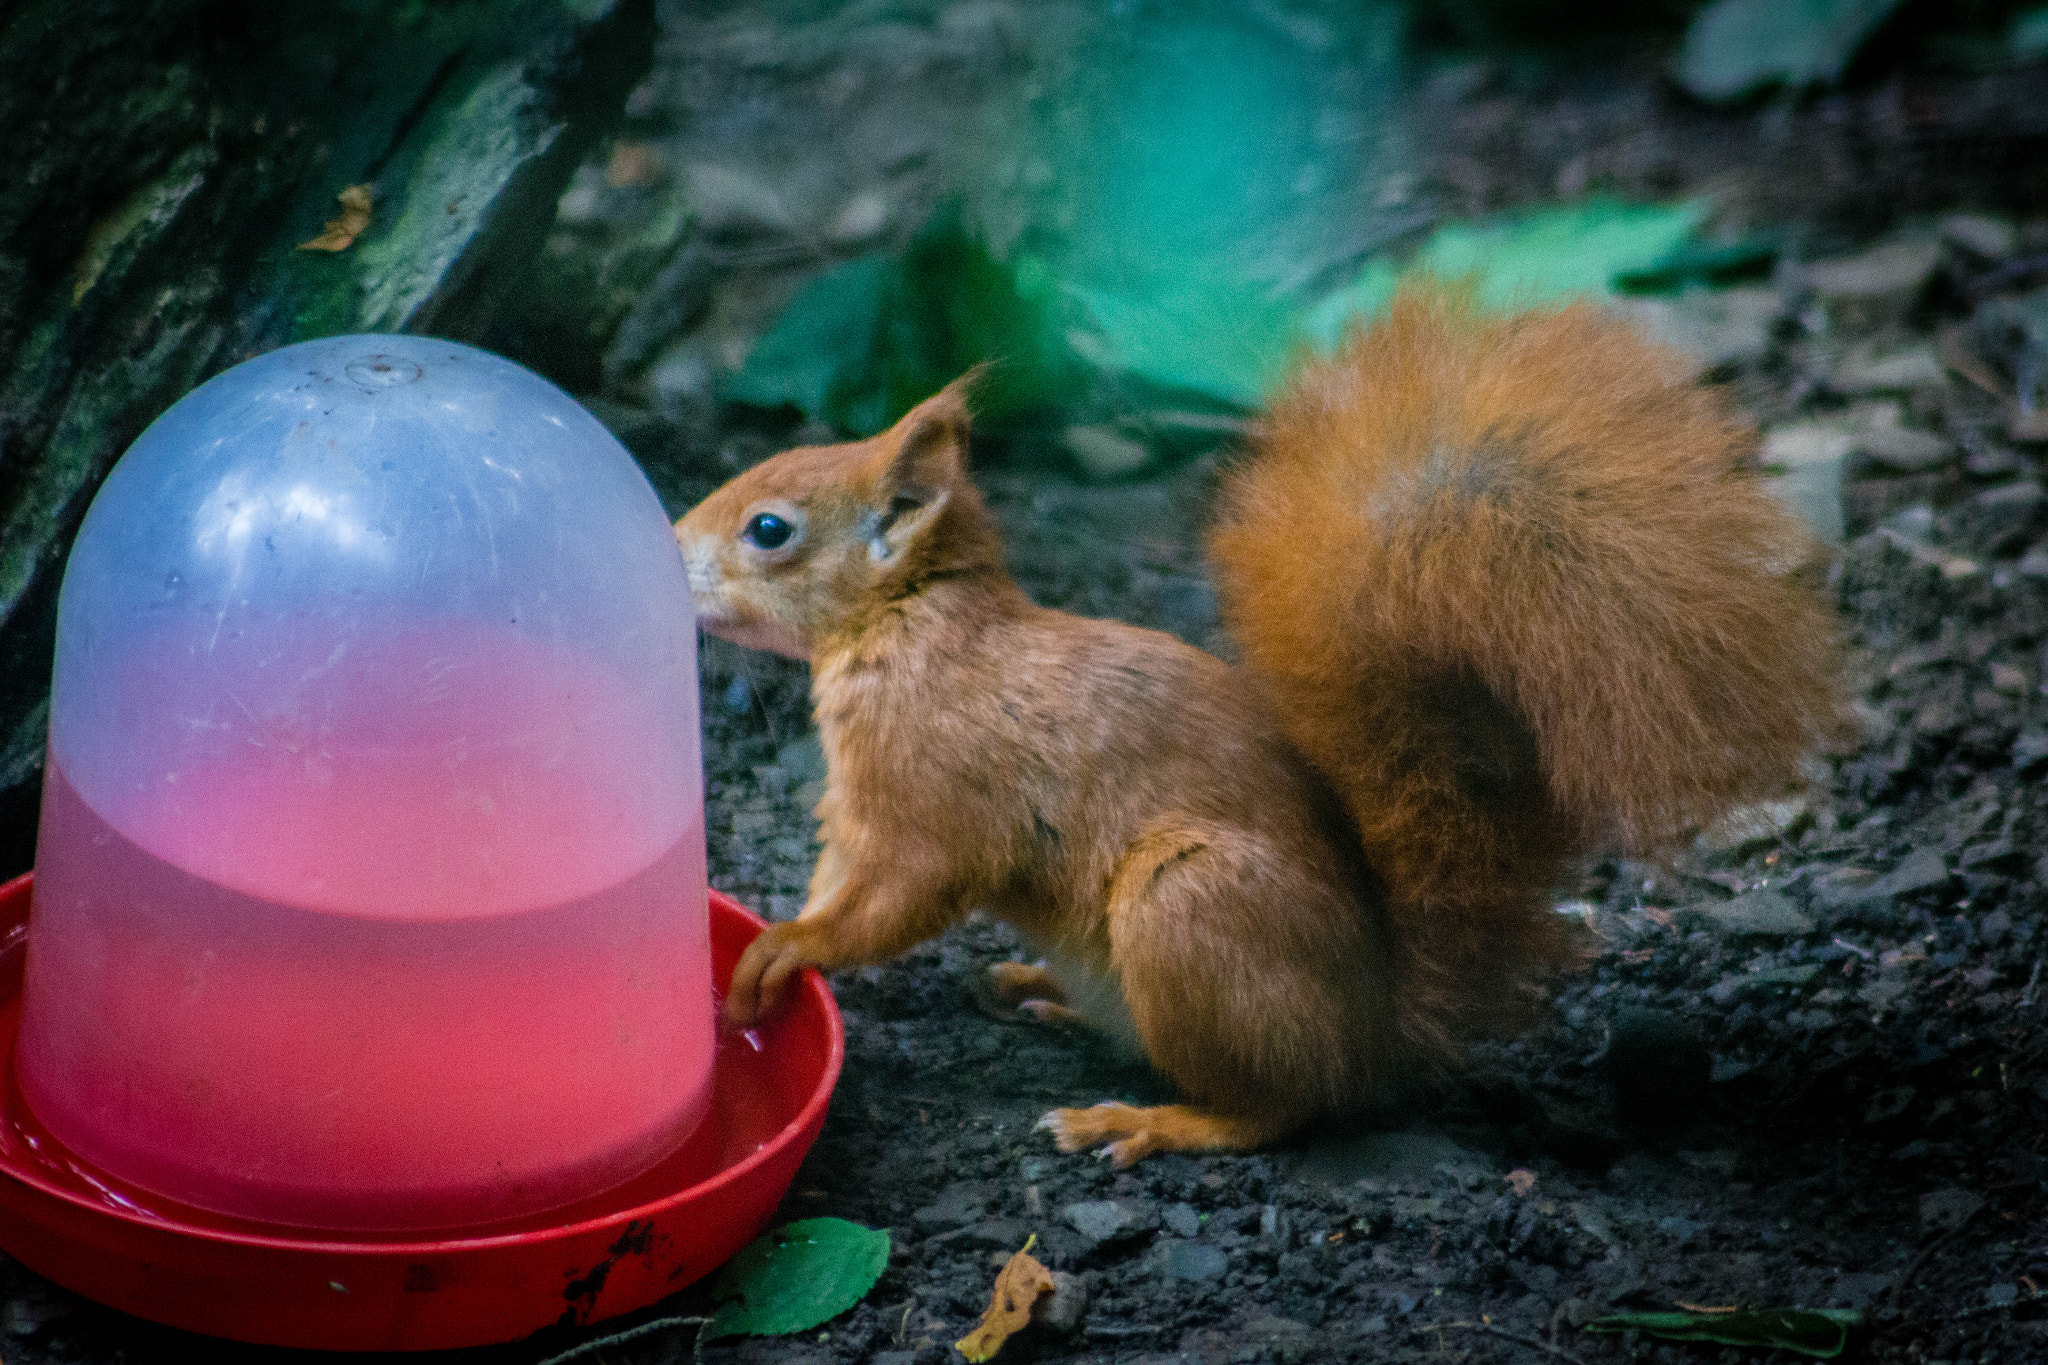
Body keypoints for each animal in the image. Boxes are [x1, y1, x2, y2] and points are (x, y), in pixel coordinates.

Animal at [675, 285, 1843, 1167]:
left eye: (770, 529)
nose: (669, 545)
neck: (911, 624)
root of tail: (1381, 1026)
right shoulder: (856, 808)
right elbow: (841, 876)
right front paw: (775, 949)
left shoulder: (931, 793)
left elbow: (898, 896)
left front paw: (787, 949)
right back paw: (1043, 992)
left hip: (1191, 906)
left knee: (1279, 1108)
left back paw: (1152, 1121)